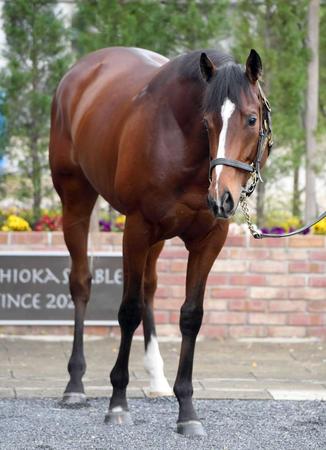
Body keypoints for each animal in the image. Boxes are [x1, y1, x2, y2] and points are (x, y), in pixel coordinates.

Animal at [48, 46, 270, 436]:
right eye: (206, 122)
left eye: (251, 119)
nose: (222, 198)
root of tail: (79, 73)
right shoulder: (137, 228)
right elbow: (129, 309)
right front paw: (117, 403)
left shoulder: (209, 240)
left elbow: (191, 316)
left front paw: (187, 410)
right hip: (76, 201)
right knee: (81, 284)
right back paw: (75, 385)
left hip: (158, 238)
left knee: (150, 287)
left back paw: (157, 380)